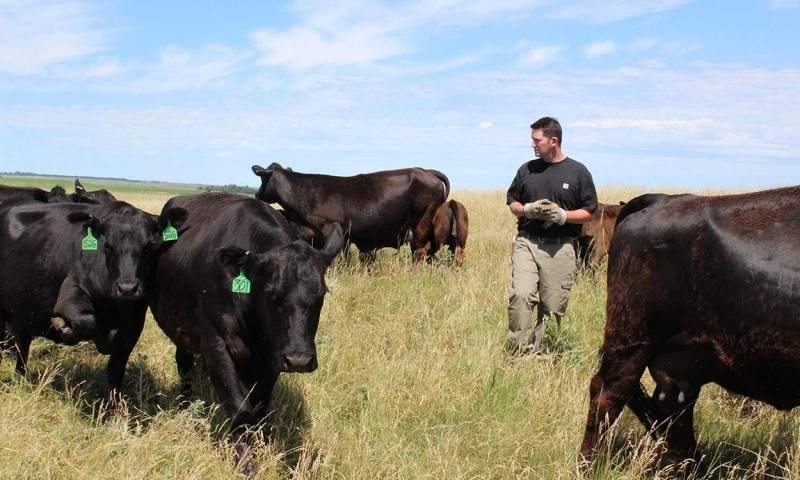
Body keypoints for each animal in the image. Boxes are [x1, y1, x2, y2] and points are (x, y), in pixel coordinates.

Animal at [0, 200, 186, 395]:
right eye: (108, 246)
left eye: (148, 246)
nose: (127, 288)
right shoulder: (70, 293)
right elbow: (86, 322)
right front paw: (64, 328)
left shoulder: (132, 324)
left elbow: (116, 371)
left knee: (22, 345)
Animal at [147, 192, 343, 461]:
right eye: (271, 294)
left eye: (321, 294)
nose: (299, 360)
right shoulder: (216, 346)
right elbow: (241, 411)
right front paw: (244, 460)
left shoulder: (271, 360)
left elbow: (259, 408)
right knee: (184, 366)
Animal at [251, 163, 449, 261]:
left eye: (262, 178)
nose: (257, 194)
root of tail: (426, 170)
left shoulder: (333, 231)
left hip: (421, 222)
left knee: (420, 250)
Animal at [580, 186, 800, 466]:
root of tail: (658, 200)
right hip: (633, 341)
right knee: (608, 394)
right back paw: (588, 466)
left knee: (674, 413)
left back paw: (691, 466)